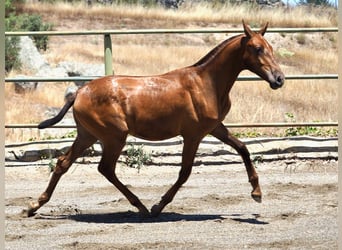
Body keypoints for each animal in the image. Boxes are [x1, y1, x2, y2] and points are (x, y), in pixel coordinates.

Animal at [26, 22, 284, 217]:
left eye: (270, 47)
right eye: (257, 48)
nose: (279, 79)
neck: (206, 83)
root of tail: (79, 92)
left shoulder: (215, 128)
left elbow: (243, 149)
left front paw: (257, 193)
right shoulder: (193, 135)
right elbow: (185, 172)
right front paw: (159, 206)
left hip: (87, 135)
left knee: (64, 163)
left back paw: (34, 206)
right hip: (113, 137)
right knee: (105, 168)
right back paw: (141, 206)